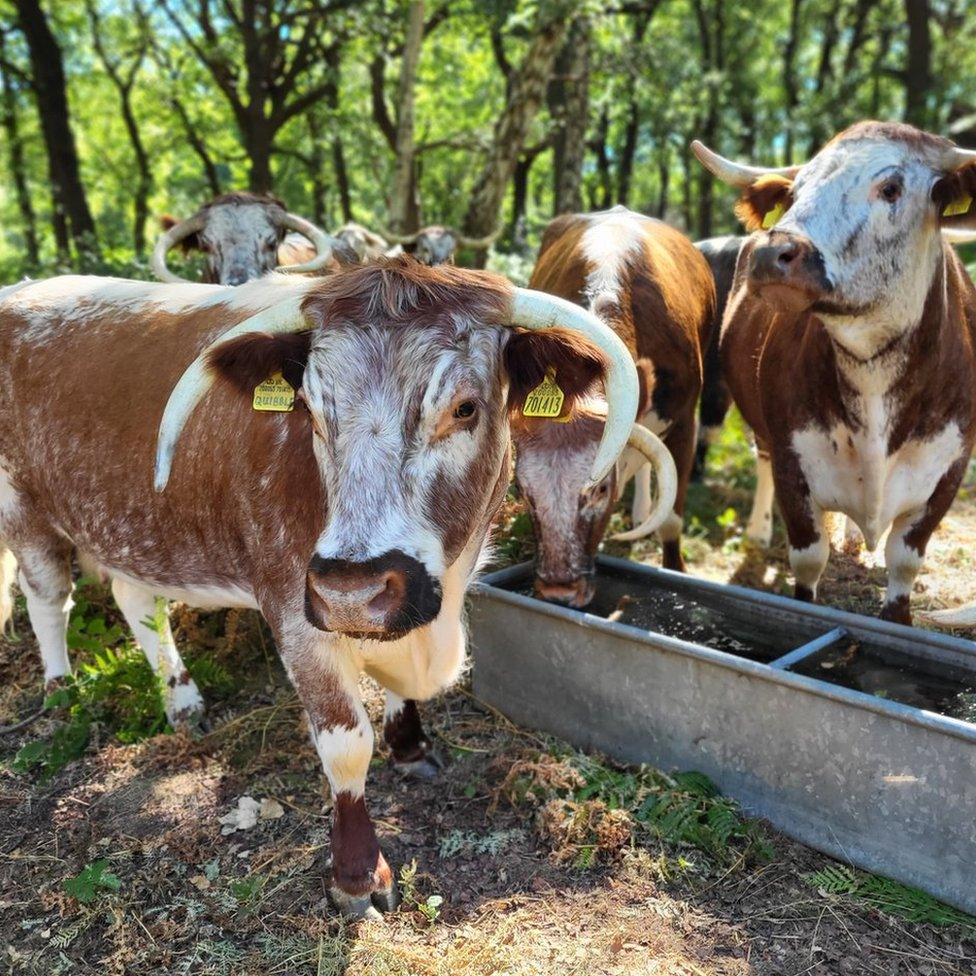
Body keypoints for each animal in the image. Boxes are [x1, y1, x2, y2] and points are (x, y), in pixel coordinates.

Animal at [0, 258, 640, 916]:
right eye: (309, 408)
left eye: (464, 408)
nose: (350, 593)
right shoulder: (296, 610)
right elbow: (346, 742)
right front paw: (357, 876)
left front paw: (411, 747)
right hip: (22, 506)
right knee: (47, 596)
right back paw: (60, 694)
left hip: (134, 528)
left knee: (137, 600)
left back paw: (181, 701)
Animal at [510, 206, 716, 604]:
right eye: (523, 491)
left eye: (600, 490)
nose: (558, 590)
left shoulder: (685, 420)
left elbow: (672, 517)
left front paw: (675, 568)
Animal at [696, 122, 976, 624]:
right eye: (795, 192)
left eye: (891, 188)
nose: (771, 253)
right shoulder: (792, 459)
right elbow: (808, 559)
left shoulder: (950, 469)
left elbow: (904, 563)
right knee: (761, 457)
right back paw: (758, 531)